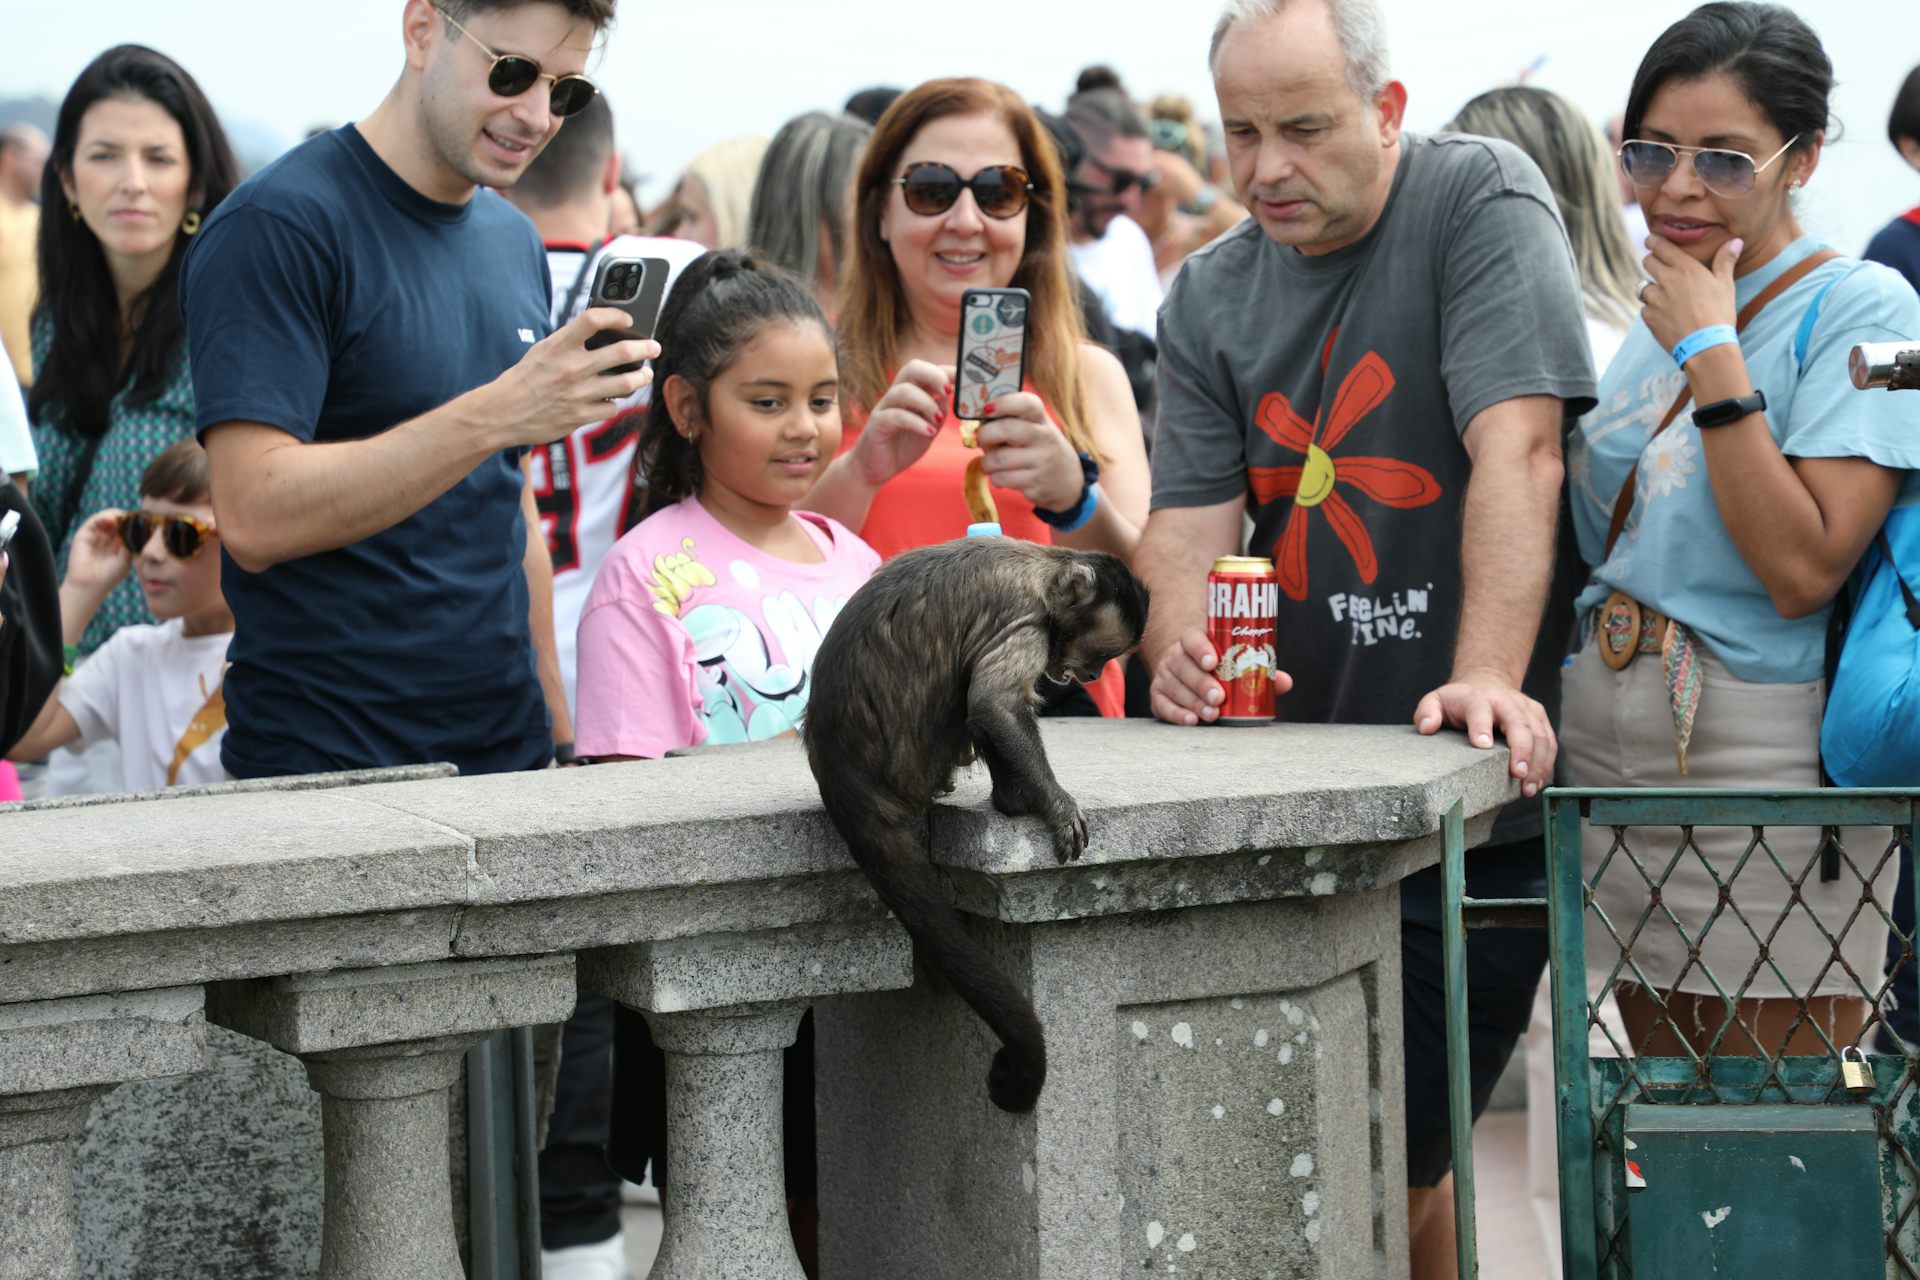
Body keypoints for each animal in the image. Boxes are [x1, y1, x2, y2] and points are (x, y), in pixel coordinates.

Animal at [804, 537, 1150, 1112]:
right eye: (1099, 657)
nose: (1094, 678)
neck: (1048, 572)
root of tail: (841, 776)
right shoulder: (1028, 621)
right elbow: (993, 704)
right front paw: (1055, 805)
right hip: (917, 758)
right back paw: (1013, 798)